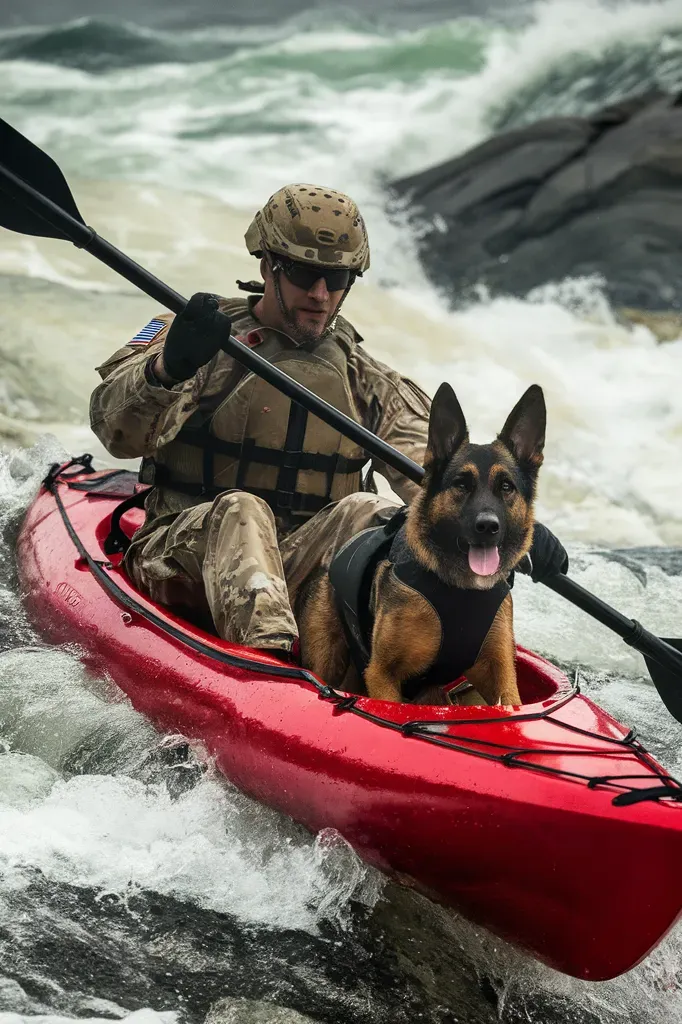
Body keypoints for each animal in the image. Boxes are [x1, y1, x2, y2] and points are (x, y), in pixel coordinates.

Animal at [294, 382, 544, 704]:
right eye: (461, 484)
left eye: (506, 487)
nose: (488, 527)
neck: (460, 591)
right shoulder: (382, 675)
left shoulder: (501, 674)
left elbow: (509, 701)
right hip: (326, 656)